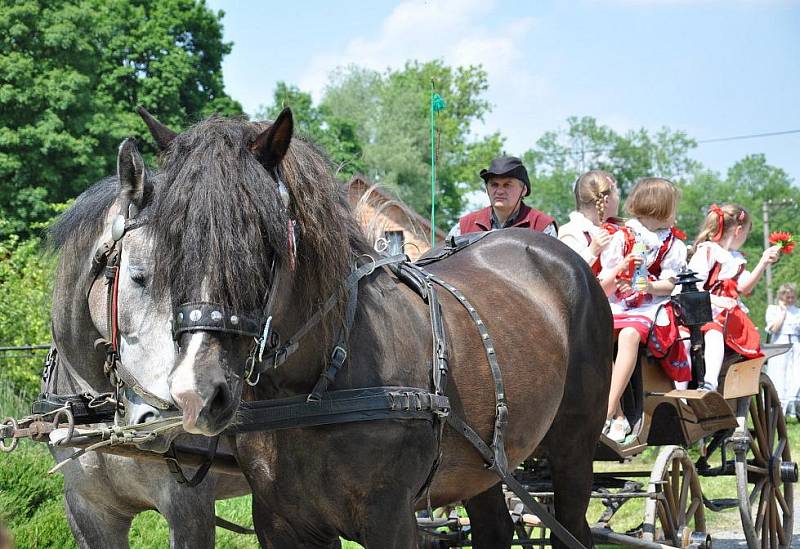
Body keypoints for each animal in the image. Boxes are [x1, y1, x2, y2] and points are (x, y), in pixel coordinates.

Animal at [134, 109, 612, 544]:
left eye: (261, 238)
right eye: (171, 239)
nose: (196, 392)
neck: (315, 387)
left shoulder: (391, 519)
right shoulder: (280, 522)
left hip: (574, 448)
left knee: (573, 525)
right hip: (487, 466)